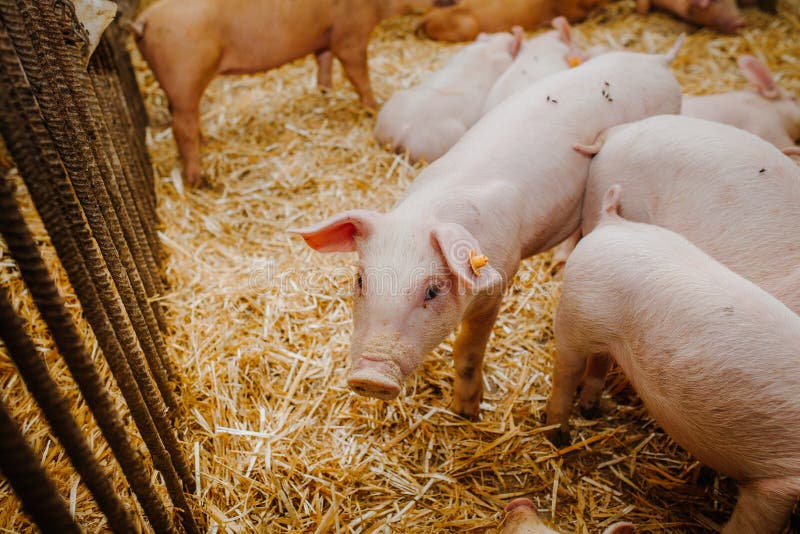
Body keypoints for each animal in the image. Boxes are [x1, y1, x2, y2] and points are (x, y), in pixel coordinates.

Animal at [131, 0, 456, 188]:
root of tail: (144, 20)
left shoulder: (325, 37)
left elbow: (323, 63)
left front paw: (326, 94)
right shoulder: (350, 34)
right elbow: (358, 73)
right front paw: (373, 106)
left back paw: (208, 142)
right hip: (185, 77)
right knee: (182, 127)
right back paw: (198, 180)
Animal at [544, 184, 800, 534]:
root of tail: (612, 222)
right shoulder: (779, 480)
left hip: (604, 335)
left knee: (599, 363)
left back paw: (592, 409)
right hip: (574, 316)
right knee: (566, 371)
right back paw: (558, 434)